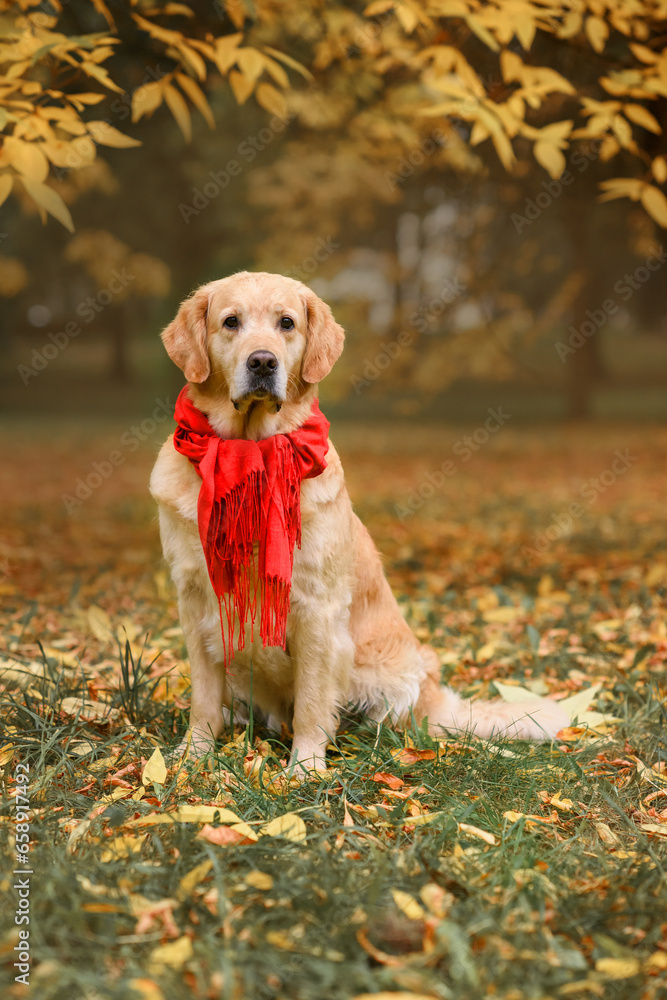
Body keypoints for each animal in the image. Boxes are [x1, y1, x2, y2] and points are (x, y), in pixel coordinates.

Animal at [150, 270, 568, 768]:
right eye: (230, 322)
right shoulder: (195, 597)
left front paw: (305, 768)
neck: (250, 451)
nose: (263, 362)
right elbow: (203, 696)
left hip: (391, 677)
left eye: (286, 323)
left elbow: (313, 701)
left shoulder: (317, 606)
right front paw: (190, 758)